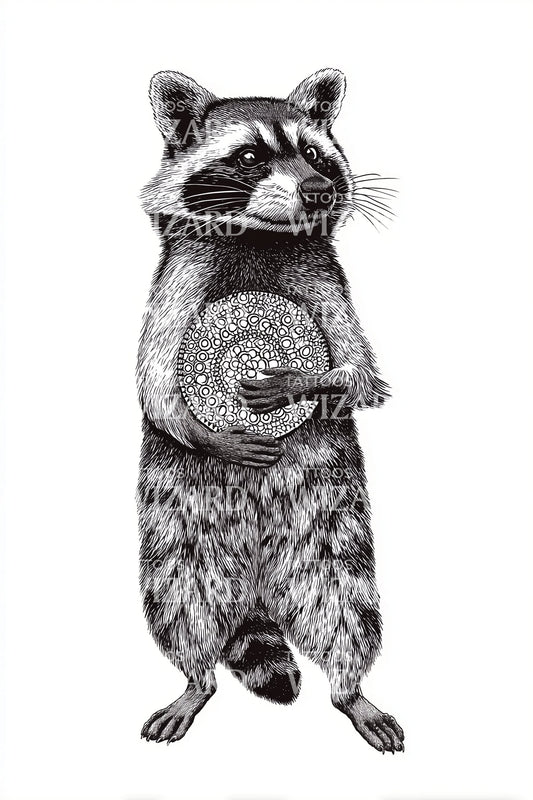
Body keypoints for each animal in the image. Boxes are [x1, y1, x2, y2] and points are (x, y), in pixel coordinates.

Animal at [137, 68, 404, 752]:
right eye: (250, 156)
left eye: (315, 154)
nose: (317, 190)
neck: (261, 236)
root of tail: (258, 591)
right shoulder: (179, 281)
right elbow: (154, 384)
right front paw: (213, 432)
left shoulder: (326, 281)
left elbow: (364, 379)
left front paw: (299, 381)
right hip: (177, 534)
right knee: (181, 605)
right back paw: (195, 679)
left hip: (331, 534)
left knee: (345, 608)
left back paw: (351, 689)